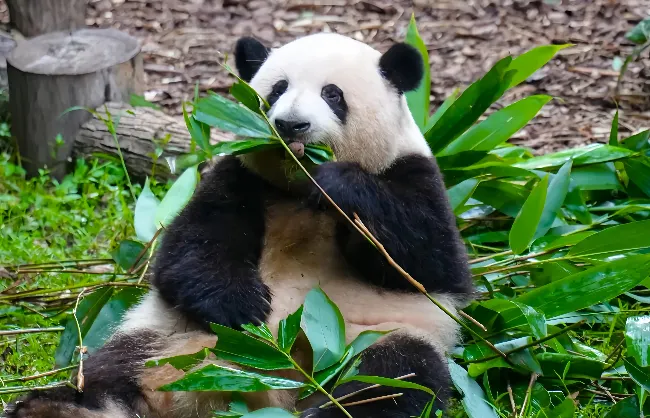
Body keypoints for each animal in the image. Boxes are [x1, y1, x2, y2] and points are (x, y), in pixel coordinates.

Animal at [6, 33, 474, 418]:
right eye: (277, 89)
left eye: (332, 94)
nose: (290, 124)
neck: (297, 188)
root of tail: (259, 389)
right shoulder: (239, 177)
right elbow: (190, 251)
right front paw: (244, 306)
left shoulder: (416, 175)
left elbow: (429, 261)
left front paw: (339, 185)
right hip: (161, 336)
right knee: (107, 372)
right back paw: (52, 409)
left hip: (370, 341)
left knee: (393, 379)